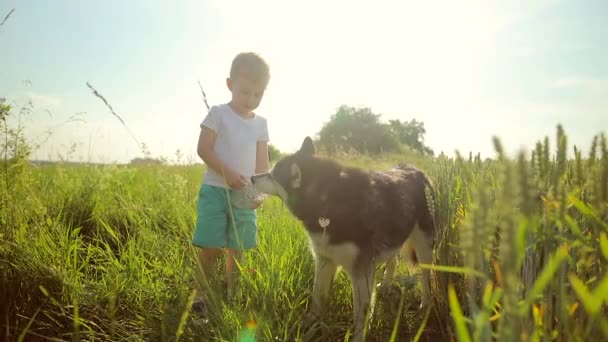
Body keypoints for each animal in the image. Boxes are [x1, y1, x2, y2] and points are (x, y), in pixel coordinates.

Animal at [252, 137, 436, 342]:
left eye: (272, 175)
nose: (252, 177)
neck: (326, 200)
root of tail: (415, 169)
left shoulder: (361, 270)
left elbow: (361, 314)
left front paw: (358, 337)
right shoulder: (324, 261)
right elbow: (316, 302)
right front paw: (308, 328)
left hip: (424, 246)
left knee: (426, 277)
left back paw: (425, 306)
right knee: (393, 260)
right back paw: (386, 286)